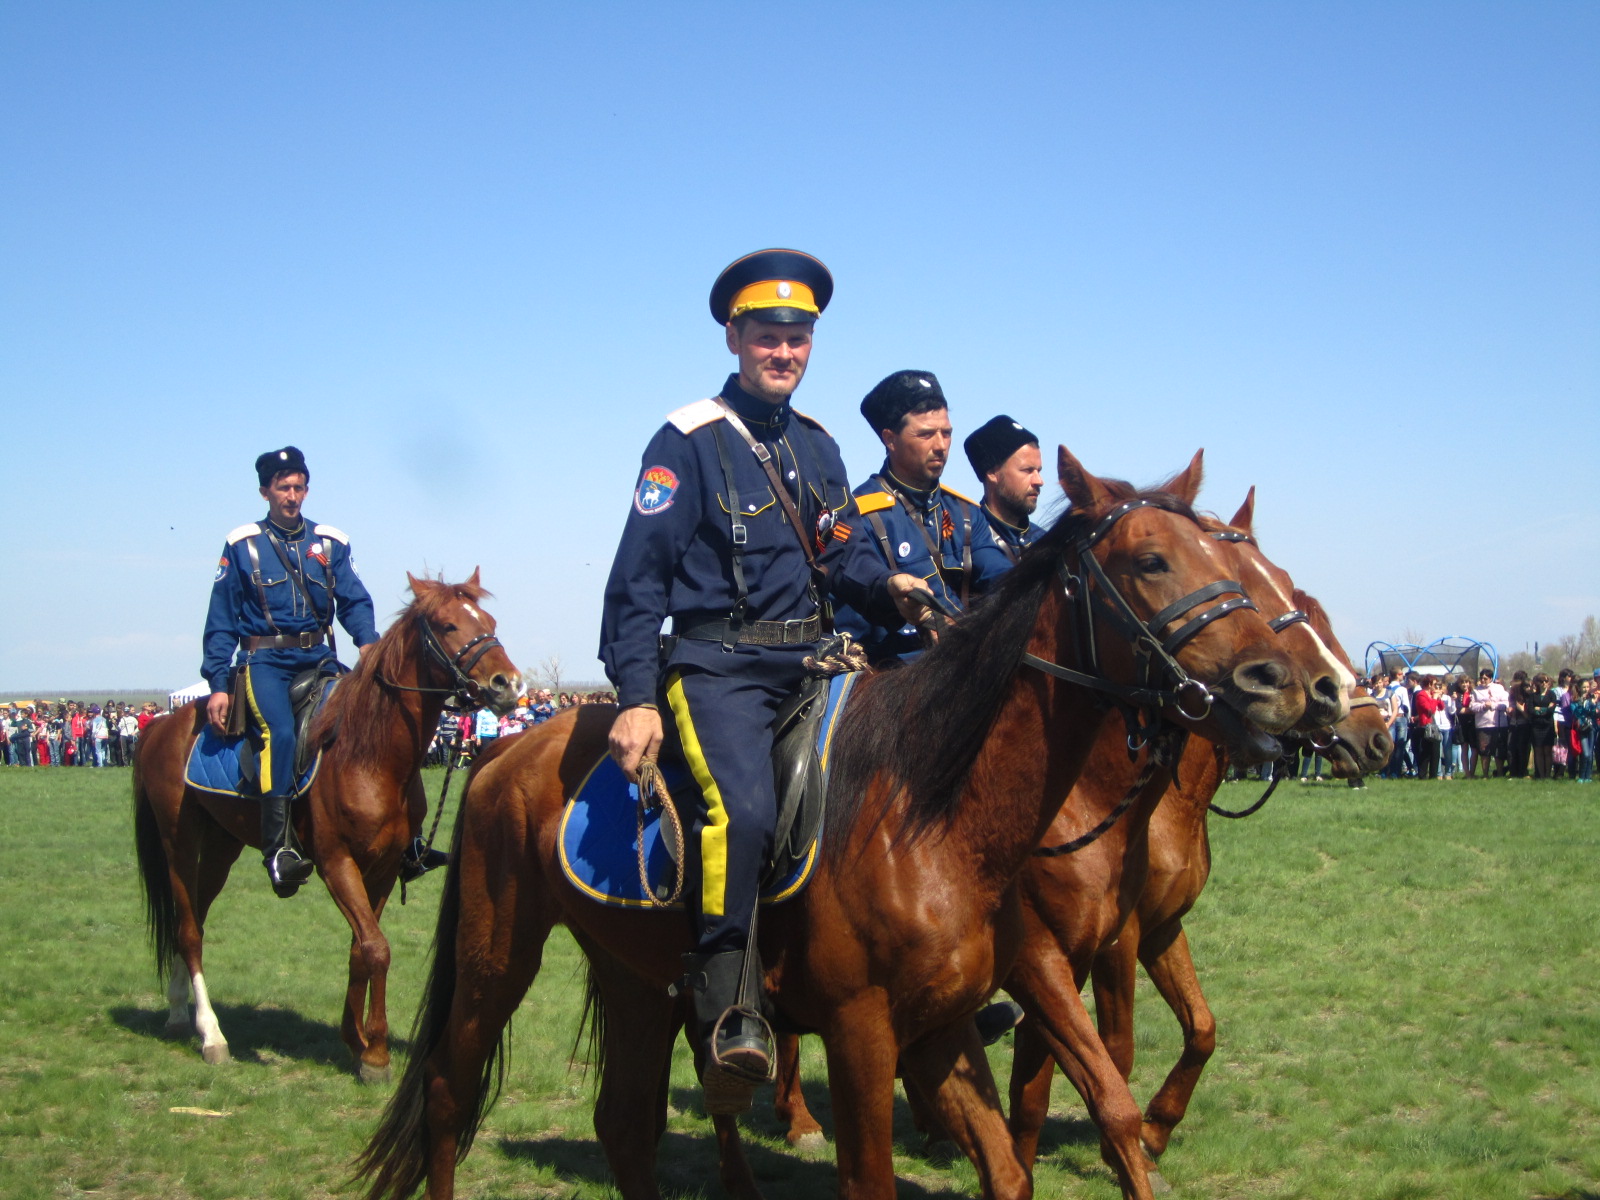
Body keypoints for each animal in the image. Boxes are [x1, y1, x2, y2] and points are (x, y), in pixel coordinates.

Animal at [133, 569, 518, 1081]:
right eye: (448, 625)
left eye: (489, 621)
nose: (507, 684)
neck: (369, 754)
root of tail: (162, 724)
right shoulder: (337, 863)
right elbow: (377, 949)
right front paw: (375, 1053)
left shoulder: (382, 867)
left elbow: (362, 949)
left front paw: (358, 1041)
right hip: (179, 841)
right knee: (190, 930)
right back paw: (211, 1035)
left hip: (220, 846)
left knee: (190, 915)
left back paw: (180, 1012)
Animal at [356, 448, 1344, 1200]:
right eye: (1151, 561)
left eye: (1237, 565)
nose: (1292, 685)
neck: (933, 809)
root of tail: (507, 749)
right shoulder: (871, 1028)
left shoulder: (949, 1021)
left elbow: (1030, 1151)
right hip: (498, 954)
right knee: (447, 1092)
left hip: (635, 976)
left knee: (625, 1126)